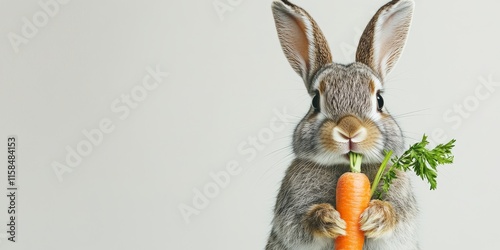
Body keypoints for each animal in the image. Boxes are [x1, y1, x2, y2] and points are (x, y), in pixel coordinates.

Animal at [268, 0, 420, 250]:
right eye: (315, 101)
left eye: (380, 100)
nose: (350, 130)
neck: (347, 167)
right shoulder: (291, 207)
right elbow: (299, 224)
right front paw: (328, 219)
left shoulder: (402, 205)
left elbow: (396, 217)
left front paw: (376, 216)